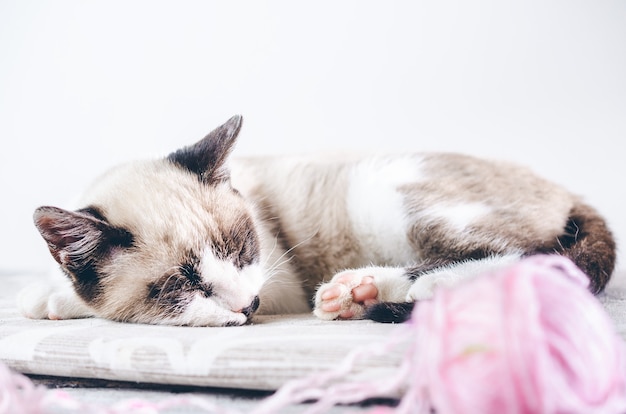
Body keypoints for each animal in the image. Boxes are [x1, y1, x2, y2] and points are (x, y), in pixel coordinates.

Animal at [18, 115, 616, 326]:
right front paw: (46, 296)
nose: (247, 307)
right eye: (180, 285)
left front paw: (59, 301)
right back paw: (358, 295)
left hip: (381, 191)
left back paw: (406, 290)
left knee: (535, 258)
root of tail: (567, 188)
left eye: (242, 249)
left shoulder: (276, 282)